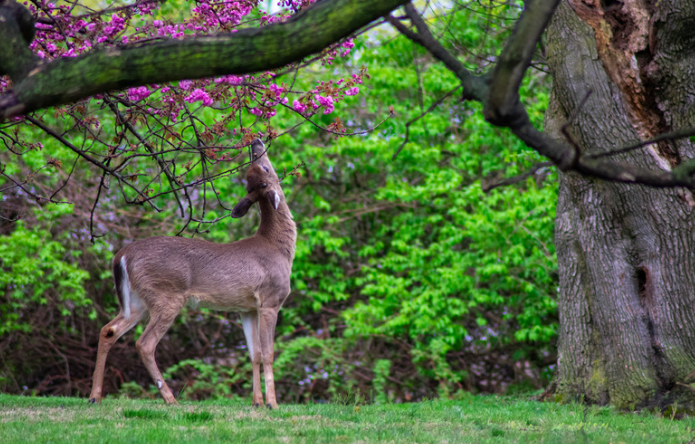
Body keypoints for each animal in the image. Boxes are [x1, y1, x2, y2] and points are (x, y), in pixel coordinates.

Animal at [88, 139, 296, 408]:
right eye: (265, 168)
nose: (256, 142)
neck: (278, 248)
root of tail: (121, 255)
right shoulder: (271, 299)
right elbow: (269, 353)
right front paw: (272, 404)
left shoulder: (247, 308)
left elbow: (255, 354)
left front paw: (257, 403)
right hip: (166, 296)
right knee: (144, 343)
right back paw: (170, 398)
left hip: (136, 301)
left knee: (108, 330)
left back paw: (94, 396)